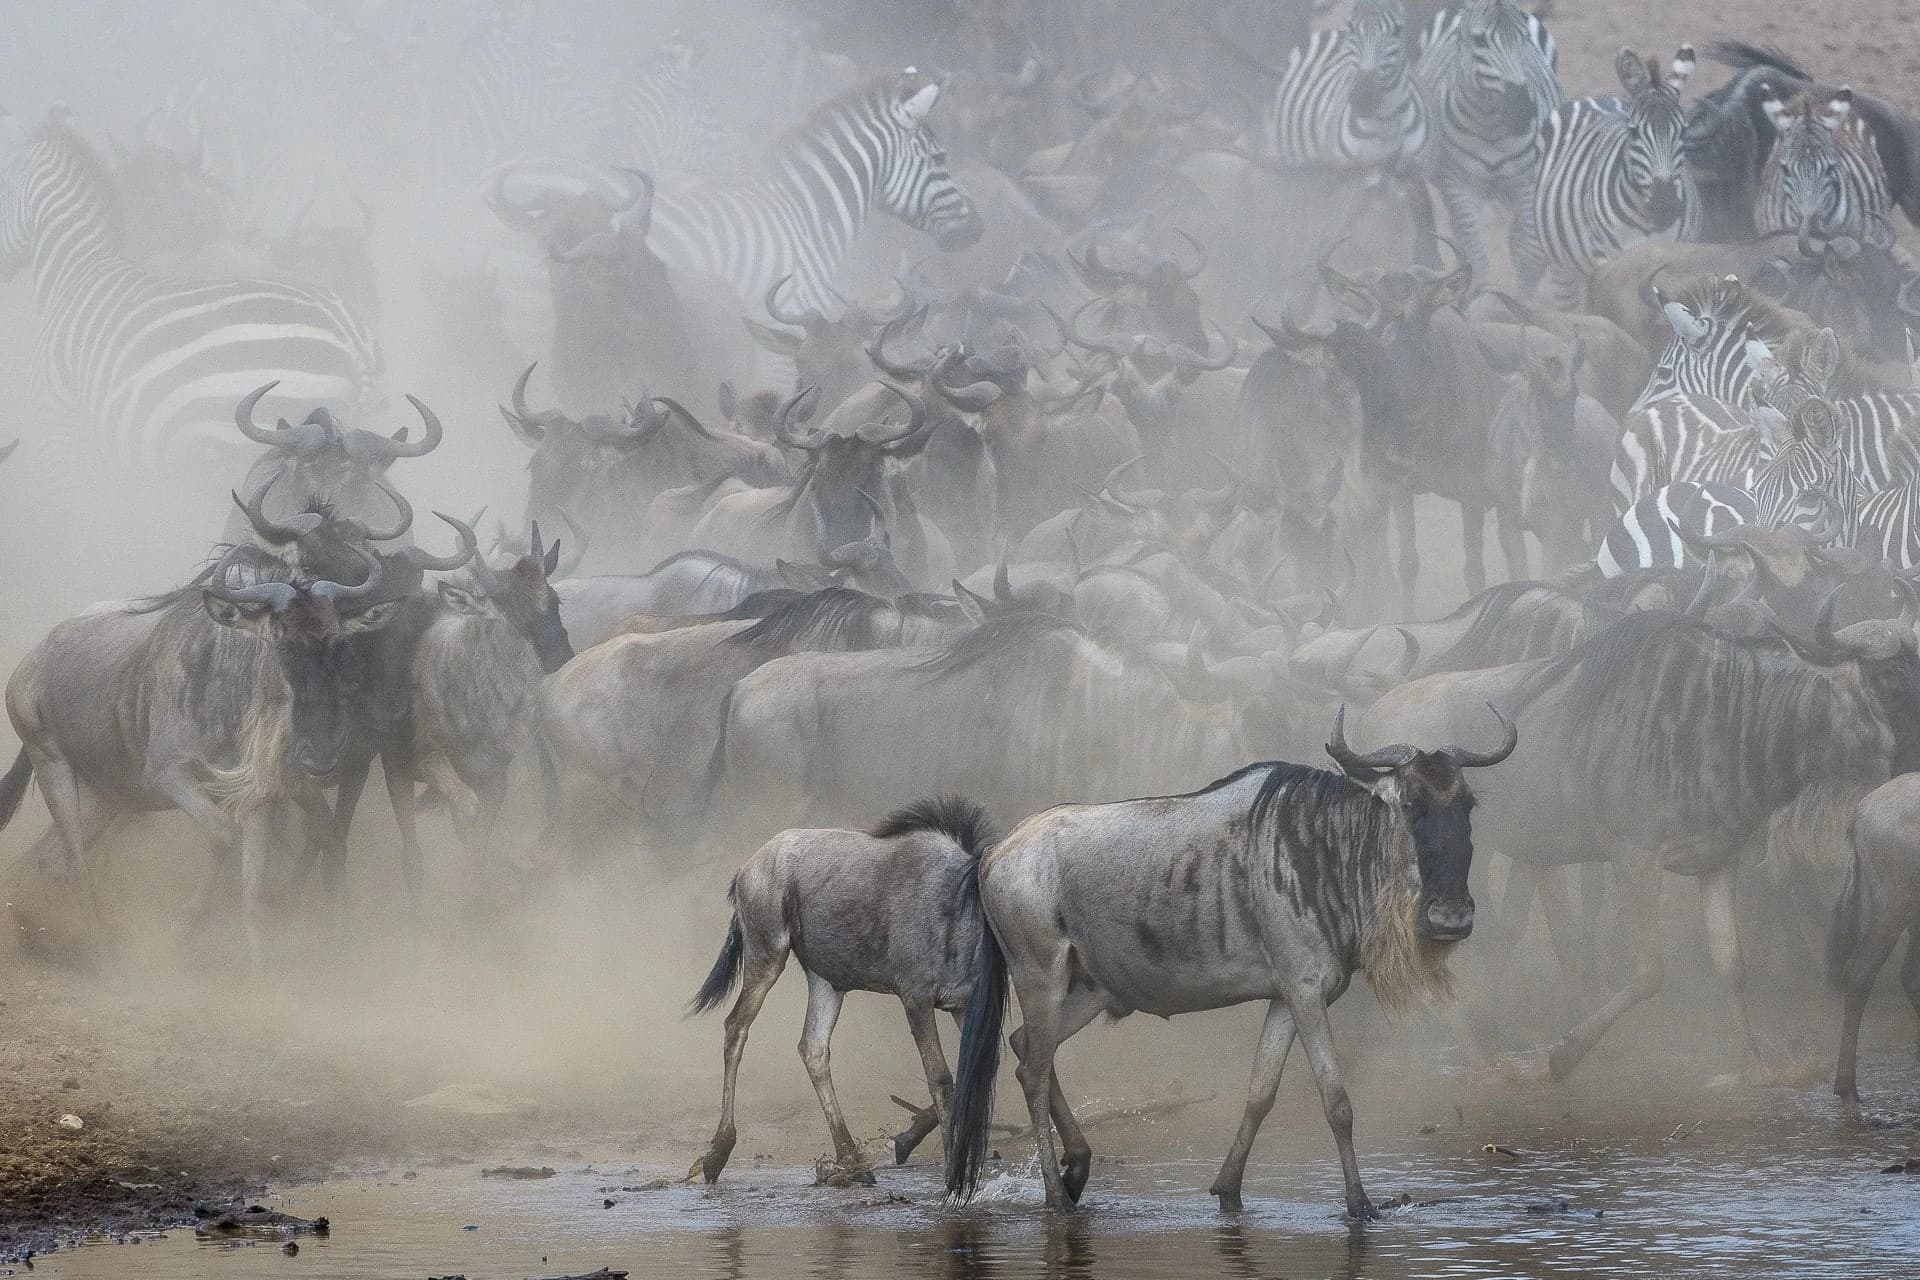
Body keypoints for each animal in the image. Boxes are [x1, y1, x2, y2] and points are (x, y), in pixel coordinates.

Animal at [1412, 0, 1561, 283]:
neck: (1491, 127)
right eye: (1479, 41)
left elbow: (1526, 253)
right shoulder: (1458, 184)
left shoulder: (1527, 183)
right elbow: (1474, 253)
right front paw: (1475, 290)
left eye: (1523, 39)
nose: (1522, 108)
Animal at [1528, 46, 1700, 306]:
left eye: (1683, 131)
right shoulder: (1609, 257)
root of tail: (1598, 98)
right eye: (1634, 132)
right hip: (1563, 265)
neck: (1648, 222)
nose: (1665, 204)